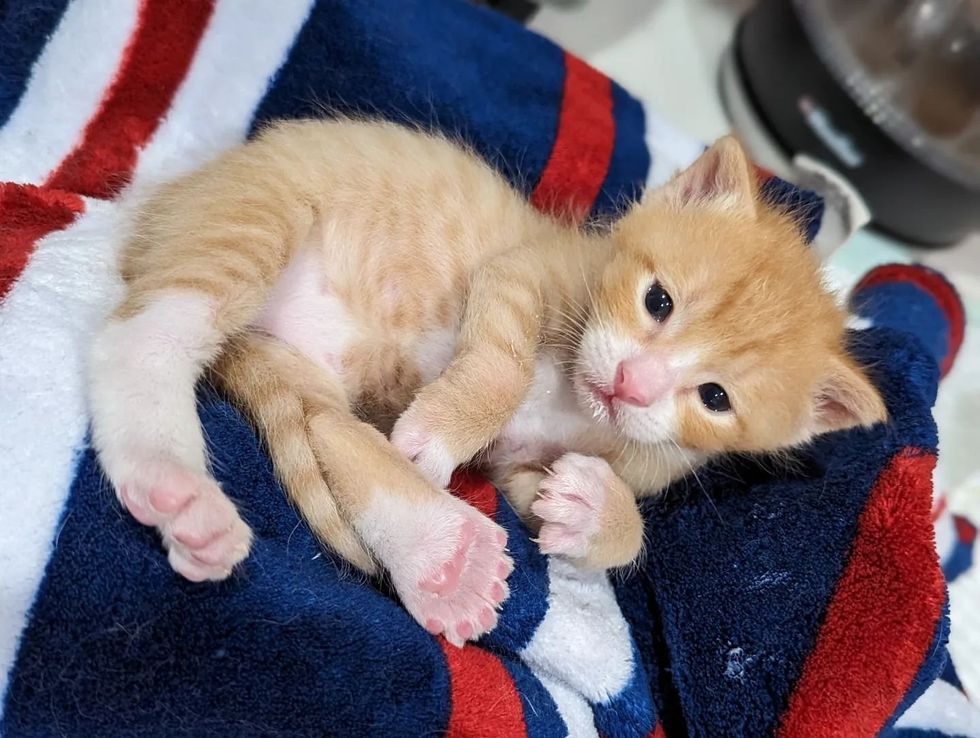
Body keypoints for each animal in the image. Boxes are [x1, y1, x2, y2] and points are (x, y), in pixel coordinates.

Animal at [86, 116, 888, 644]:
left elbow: (589, 517)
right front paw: (447, 426)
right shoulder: (524, 271)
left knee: (329, 430)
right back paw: (172, 479)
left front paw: (596, 512)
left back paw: (441, 562)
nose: (633, 385)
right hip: (253, 217)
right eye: (658, 301)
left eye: (715, 398)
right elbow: (502, 362)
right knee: (142, 337)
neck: (574, 399)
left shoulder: (527, 468)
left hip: (300, 367)